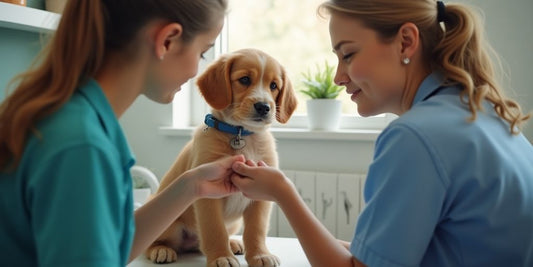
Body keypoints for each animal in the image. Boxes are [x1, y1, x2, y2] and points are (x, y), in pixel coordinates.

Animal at [145, 48, 298, 267]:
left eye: (274, 86)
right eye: (244, 79)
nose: (263, 107)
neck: (241, 133)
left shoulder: (260, 191)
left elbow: (256, 230)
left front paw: (260, 255)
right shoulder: (207, 191)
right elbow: (214, 229)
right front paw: (221, 257)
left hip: (233, 224)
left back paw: (233, 243)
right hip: (168, 221)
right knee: (155, 242)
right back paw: (161, 250)